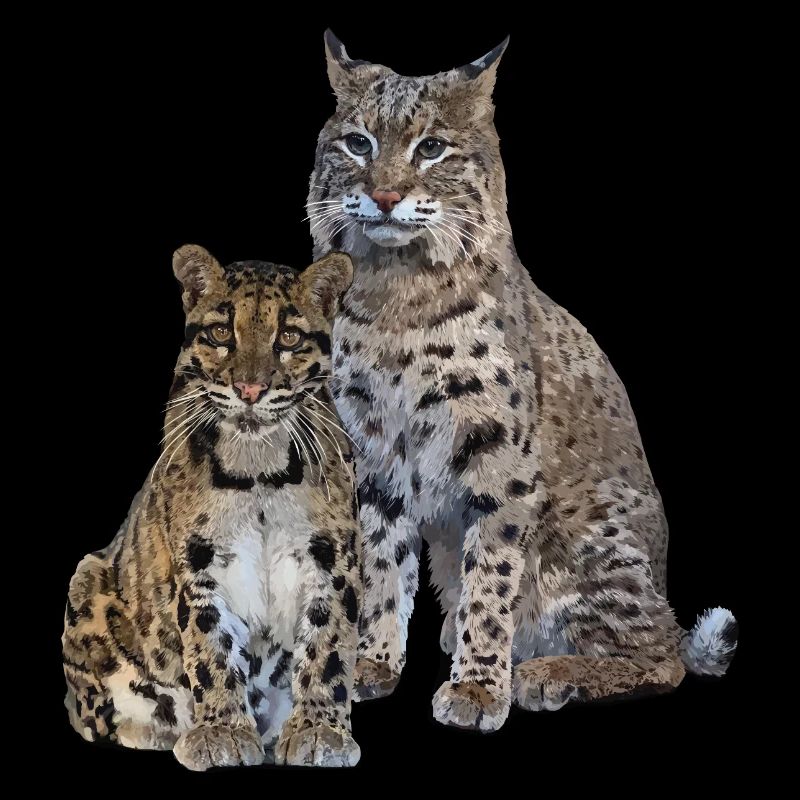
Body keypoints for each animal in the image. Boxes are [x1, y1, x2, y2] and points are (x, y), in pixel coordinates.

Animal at [62, 245, 363, 767]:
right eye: (223, 332)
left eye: (288, 336)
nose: (250, 390)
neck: (259, 469)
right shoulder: (199, 562)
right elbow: (210, 647)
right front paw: (222, 731)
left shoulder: (331, 559)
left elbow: (328, 647)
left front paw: (318, 730)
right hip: (86, 581)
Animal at [305, 30, 738, 732]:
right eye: (358, 144)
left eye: (432, 148)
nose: (387, 197)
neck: (395, 290)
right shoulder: (372, 452)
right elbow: (379, 563)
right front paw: (369, 662)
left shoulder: (498, 455)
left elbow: (493, 574)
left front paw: (480, 689)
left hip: (588, 534)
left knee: (664, 656)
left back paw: (547, 672)